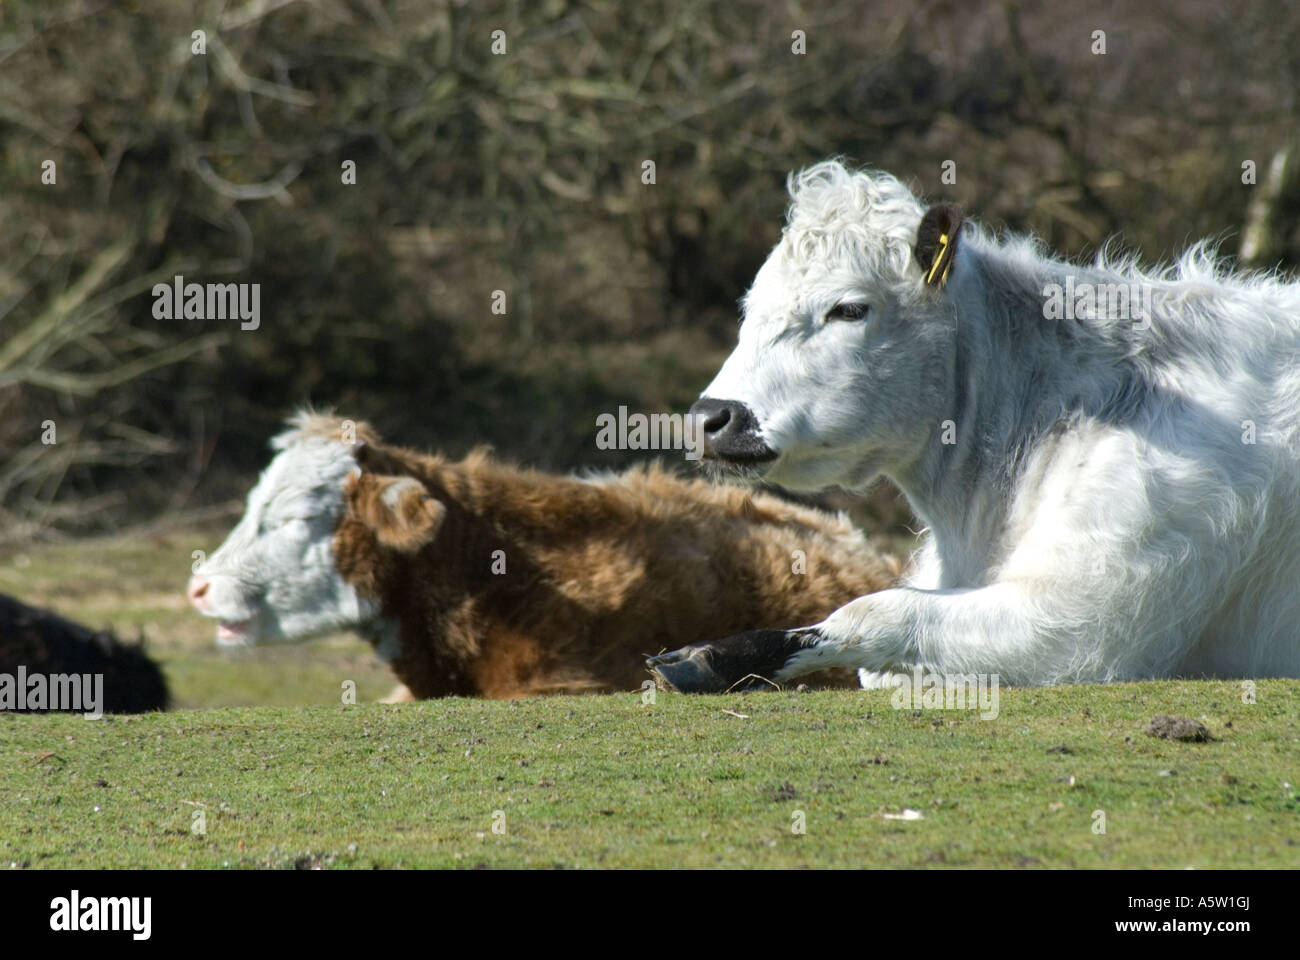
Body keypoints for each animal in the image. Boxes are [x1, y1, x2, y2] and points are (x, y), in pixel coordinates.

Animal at [655, 160, 1300, 692]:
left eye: (849, 309)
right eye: (749, 307)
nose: (711, 416)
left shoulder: (1086, 617)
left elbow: (879, 612)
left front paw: (708, 657)